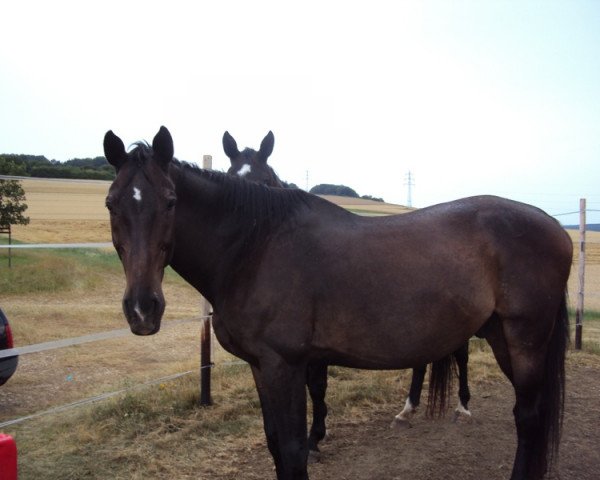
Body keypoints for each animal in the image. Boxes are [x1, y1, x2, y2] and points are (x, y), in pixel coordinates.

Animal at [105, 125, 576, 478]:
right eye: (111, 204)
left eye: (170, 202)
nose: (143, 309)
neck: (256, 245)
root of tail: (556, 226)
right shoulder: (262, 366)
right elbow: (274, 443)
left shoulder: (286, 364)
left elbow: (294, 448)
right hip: (498, 335)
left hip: (525, 339)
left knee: (529, 417)